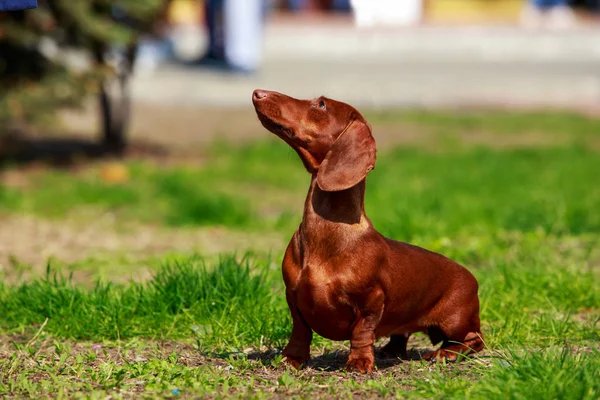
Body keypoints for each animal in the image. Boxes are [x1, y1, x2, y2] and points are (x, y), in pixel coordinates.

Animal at [251, 90, 486, 372]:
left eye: (321, 104)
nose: (258, 93)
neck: (328, 233)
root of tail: (471, 276)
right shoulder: (293, 296)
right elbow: (300, 331)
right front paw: (292, 358)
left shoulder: (371, 301)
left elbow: (362, 332)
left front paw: (360, 362)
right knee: (401, 334)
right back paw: (391, 350)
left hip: (455, 321)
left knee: (475, 340)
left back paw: (446, 354)